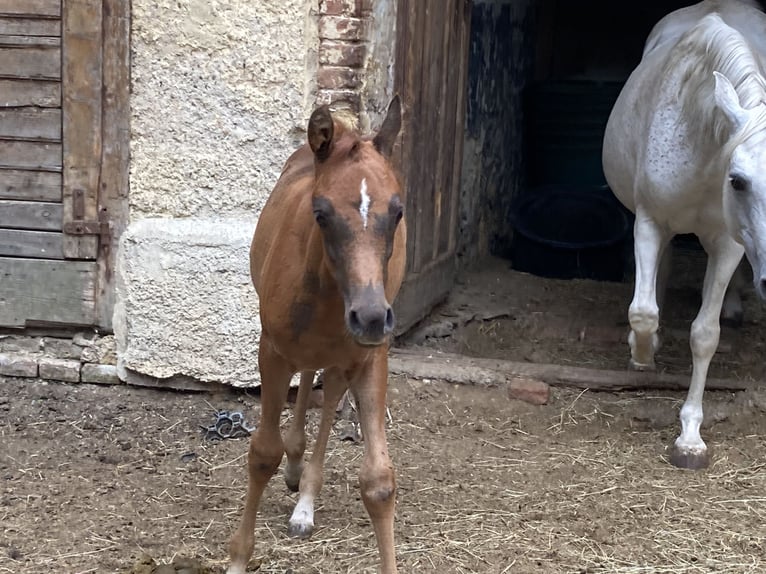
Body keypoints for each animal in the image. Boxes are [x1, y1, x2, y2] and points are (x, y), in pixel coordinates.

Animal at [226, 96, 406, 574]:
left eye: (397, 211)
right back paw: (294, 465)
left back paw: (304, 495)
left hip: (347, 355)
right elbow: (262, 454)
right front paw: (238, 557)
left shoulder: (370, 357)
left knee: (326, 392)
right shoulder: (270, 352)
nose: (371, 316)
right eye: (321, 213)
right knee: (307, 380)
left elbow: (379, 481)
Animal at [603, 0, 766, 469]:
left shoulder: (728, 245)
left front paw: (690, 437)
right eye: (738, 181)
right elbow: (643, 312)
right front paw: (642, 352)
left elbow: (705, 335)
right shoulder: (650, 222)